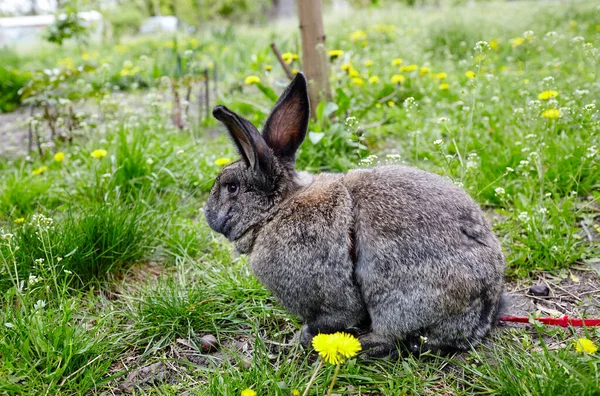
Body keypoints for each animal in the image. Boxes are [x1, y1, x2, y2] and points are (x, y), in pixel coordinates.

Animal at [204, 72, 504, 358]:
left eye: (231, 187)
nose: (207, 213)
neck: (276, 211)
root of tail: (481, 316)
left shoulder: (331, 297)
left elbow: (335, 317)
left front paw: (300, 339)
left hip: (396, 295)